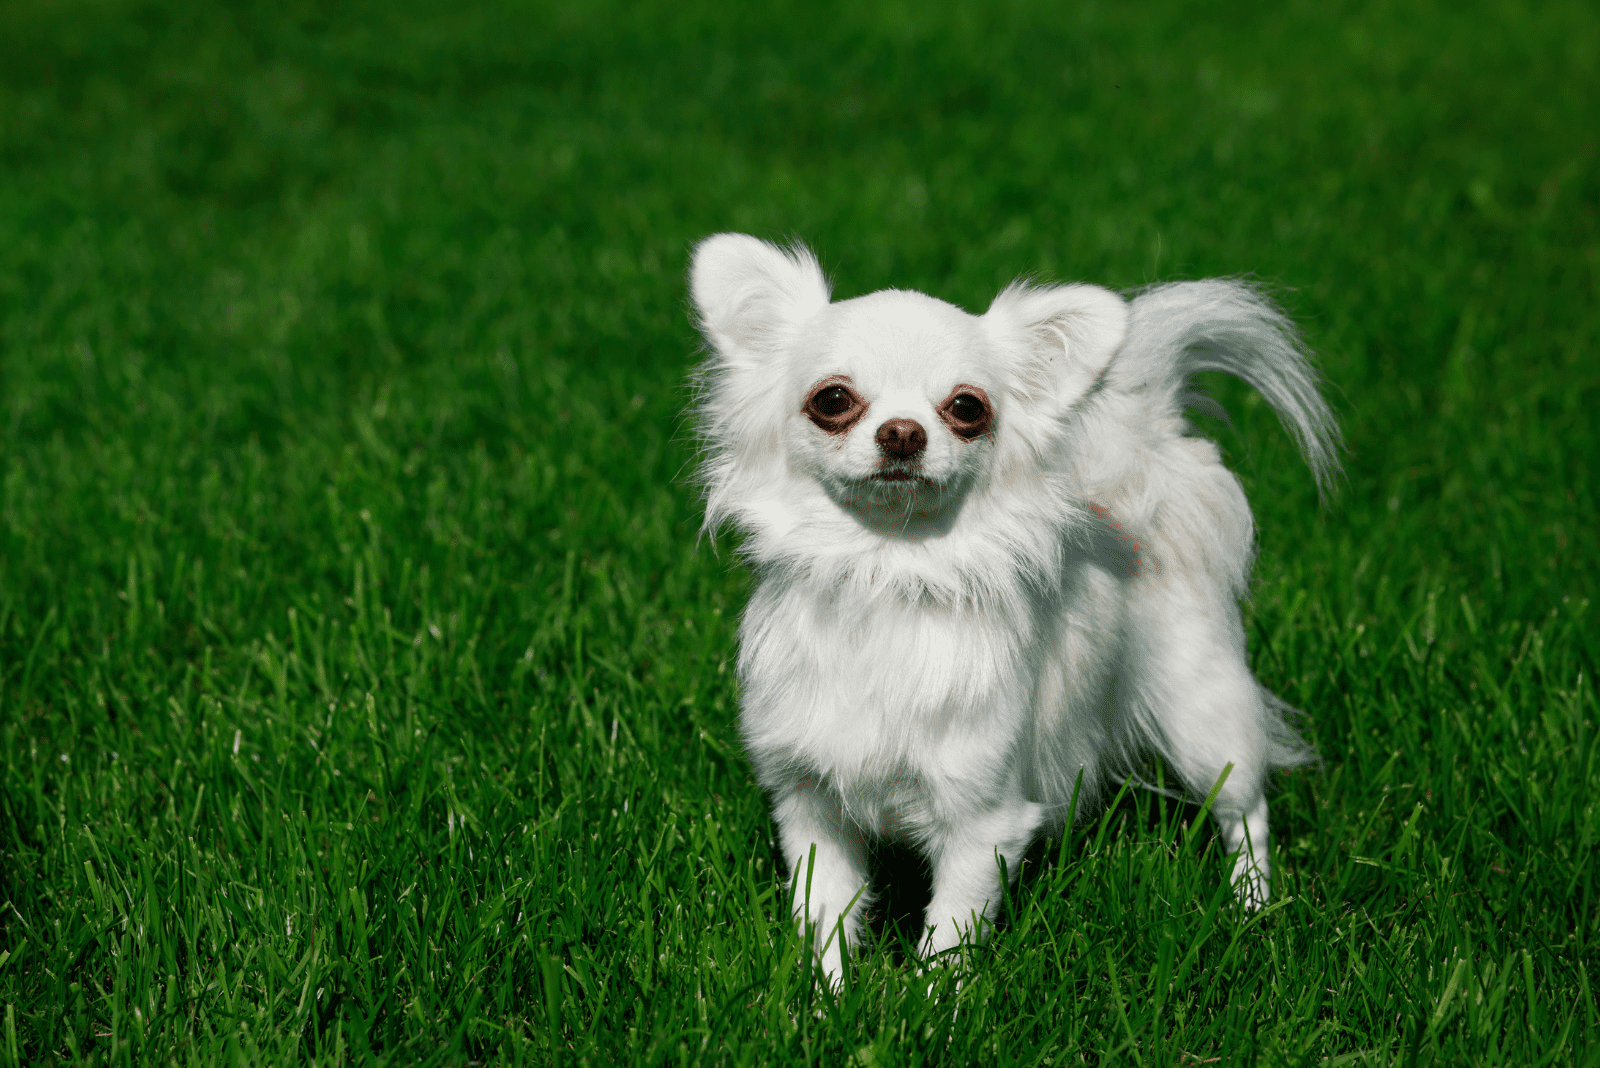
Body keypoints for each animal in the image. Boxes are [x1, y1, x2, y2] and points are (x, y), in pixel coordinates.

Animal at [684, 233, 1337, 984]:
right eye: (834, 399)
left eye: (967, 408)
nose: (902, 432)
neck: (888, 569)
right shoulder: (813, 805)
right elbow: (827, 916)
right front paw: (827, 999)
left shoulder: (982, 821)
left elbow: (948, 937)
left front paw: (930, 1004)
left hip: (1200, 708)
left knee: (1244, 808)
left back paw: (1252, 907)